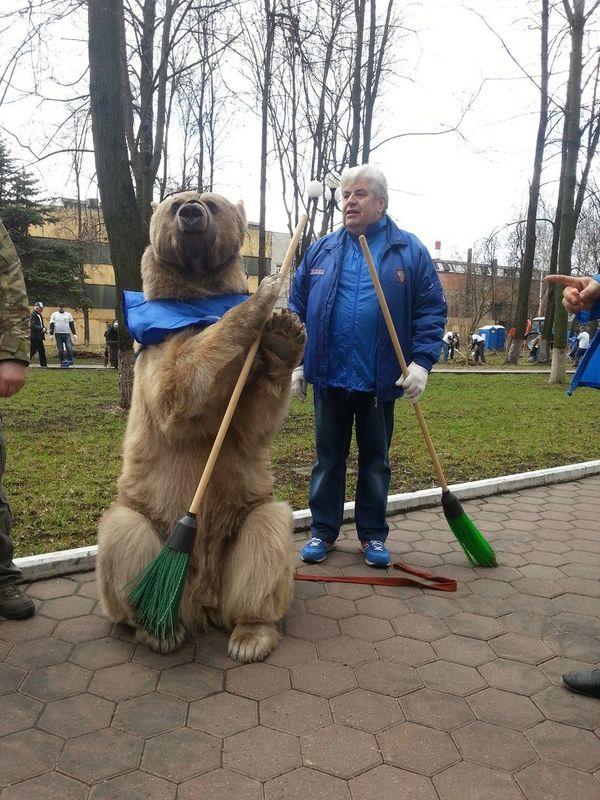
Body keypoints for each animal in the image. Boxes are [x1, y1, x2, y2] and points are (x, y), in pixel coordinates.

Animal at [96, 190, 306, 662]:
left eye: (210, 201)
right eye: (175, 204)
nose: (191, 213)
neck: (195, 301)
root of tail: (202, 600)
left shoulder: (247, 379)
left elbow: (252, 422)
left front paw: (284, 332)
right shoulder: (155, 346)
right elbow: (177, 390)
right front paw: (264, 294)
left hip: (238, 526)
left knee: (267, 533)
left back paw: (250, 635)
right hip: (152, 522)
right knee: (124, 535)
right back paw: (157, 629)